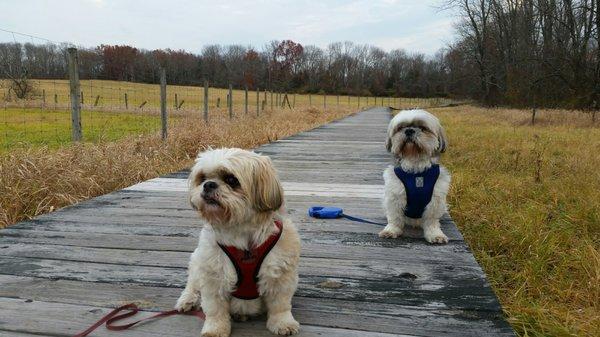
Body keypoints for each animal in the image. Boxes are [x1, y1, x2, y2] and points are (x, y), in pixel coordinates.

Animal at [176, 148, 302, 336]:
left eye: (231, 179)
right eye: (202, 178)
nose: (208, 185)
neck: (242, 234)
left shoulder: (279, 274)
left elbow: (280, 305)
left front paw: (282, 323)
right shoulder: (213, 275)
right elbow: (215, 309)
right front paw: (215, 329)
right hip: (198, 262)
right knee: (192, 284)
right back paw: (187, 300)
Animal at [380, 110, 450, 244]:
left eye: (423, 128)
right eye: (400, 128)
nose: (409, 130)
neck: (416, 170)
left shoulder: (435, 200)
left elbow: (431, 221)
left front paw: (435, 234)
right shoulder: (395, 197)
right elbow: (395, 218)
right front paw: (391, 230)